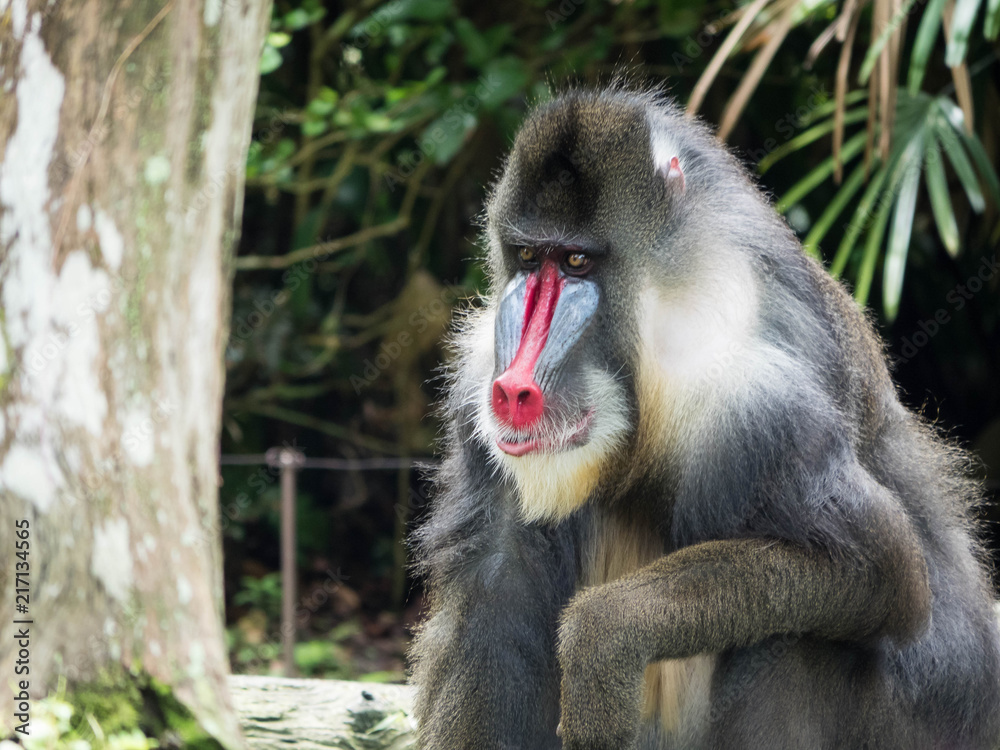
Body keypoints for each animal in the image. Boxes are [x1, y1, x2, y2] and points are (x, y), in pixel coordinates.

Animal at [408, 87, 1000, 750]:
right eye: (531, 257)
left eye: (579, 261)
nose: (513, 390)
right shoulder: (476, 393)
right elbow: (494, 594)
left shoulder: (754, 403)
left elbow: (883, 568)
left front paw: (602, 641)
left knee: (794, 641)